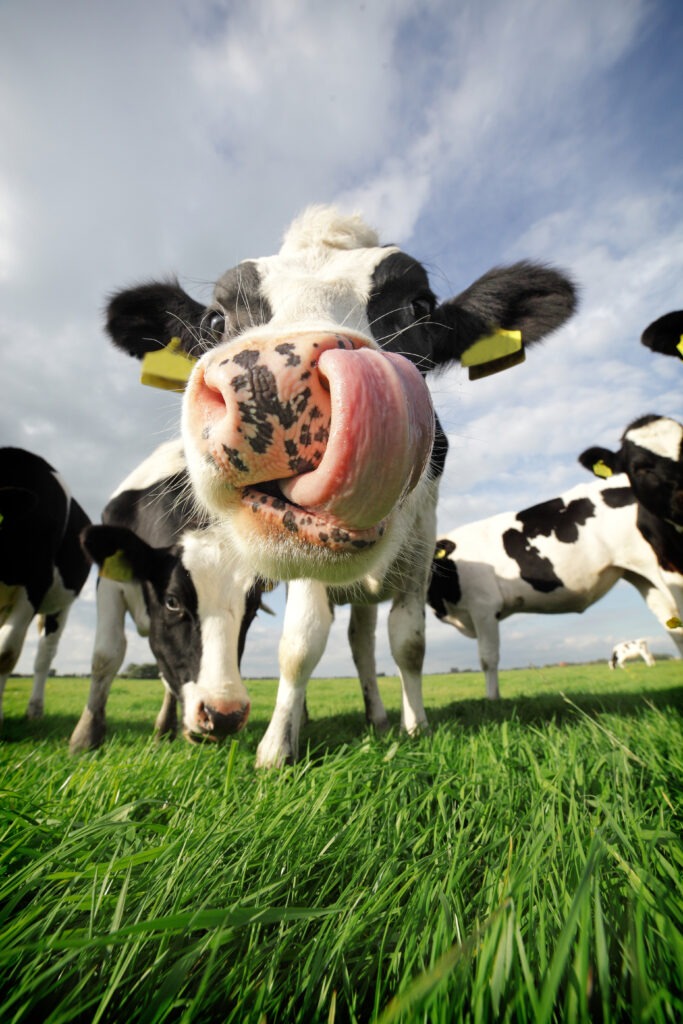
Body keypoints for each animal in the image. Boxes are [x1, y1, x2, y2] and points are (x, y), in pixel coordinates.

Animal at [68, 438, 267, 753]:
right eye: (172, 602)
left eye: (253, 608)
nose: (223, 715)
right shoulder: (109, 582)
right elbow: (106, 654)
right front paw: (85, 737)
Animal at [105, 205, 576, 765]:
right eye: (217, 320)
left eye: (418, 306)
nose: (273, 380)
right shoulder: (303, 560)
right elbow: (299, 645)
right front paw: (276, 749)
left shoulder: (420, 549)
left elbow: (407, 643)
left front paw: (415, 726)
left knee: (363, 642)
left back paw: (376, 716)